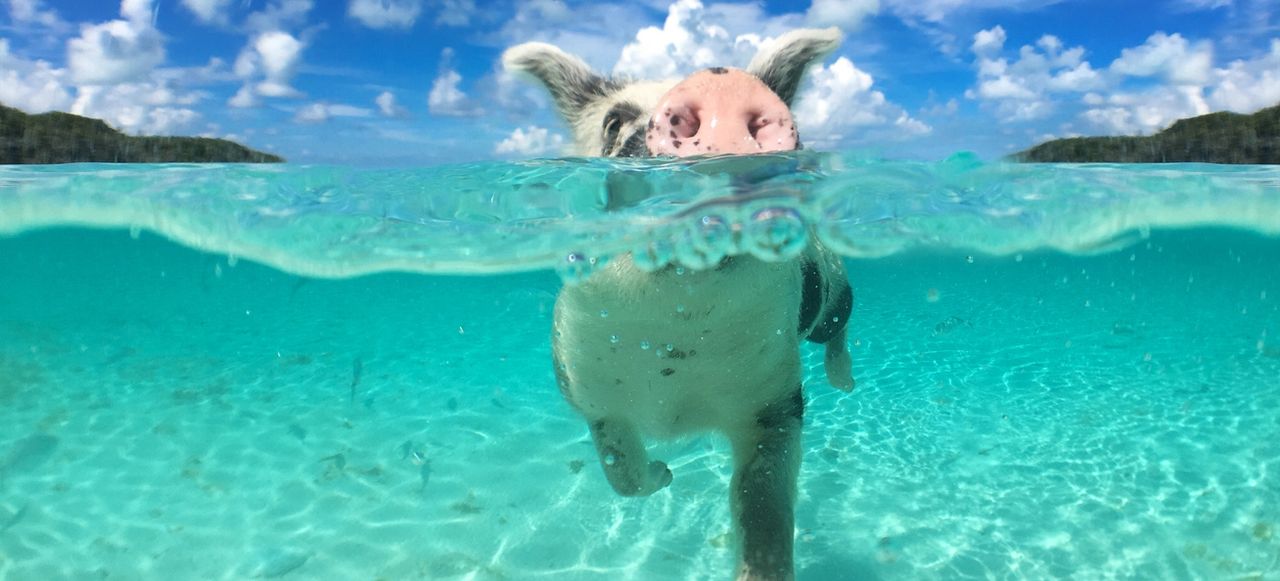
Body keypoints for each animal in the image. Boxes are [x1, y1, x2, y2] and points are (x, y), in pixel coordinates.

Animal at [503, 28, 853, 581]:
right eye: (614, 122)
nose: (721, 86)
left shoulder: (776, 401)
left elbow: (764, 504)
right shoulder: (589, 388)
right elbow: (620, 470)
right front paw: (664, 475)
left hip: (832, 287)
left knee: (837, 327)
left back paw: (845, 381)